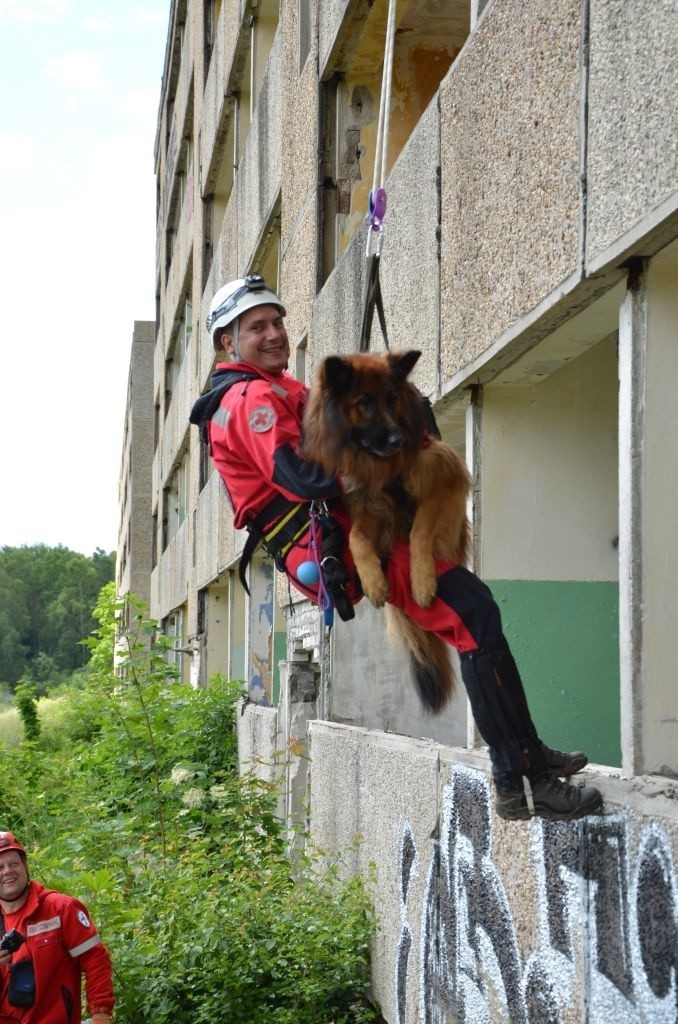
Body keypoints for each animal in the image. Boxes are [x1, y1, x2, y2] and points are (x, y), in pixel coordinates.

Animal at [303, 348, 473, 708]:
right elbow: (355, 537)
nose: (396, 439)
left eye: (393, 398)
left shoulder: (442, 478)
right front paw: (373, 581)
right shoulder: (368, 503)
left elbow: (421, 530)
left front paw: (422, 581)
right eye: (364, 401)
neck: (382, 468)